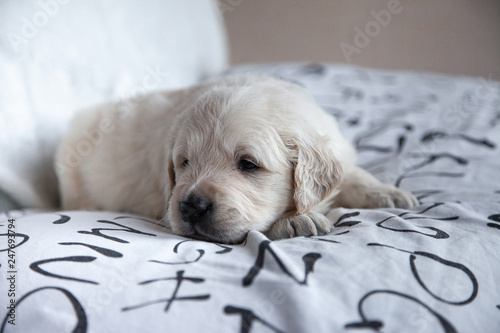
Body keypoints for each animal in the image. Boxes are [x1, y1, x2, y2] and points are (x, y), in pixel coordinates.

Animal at [55, 77, 418, 244]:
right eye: (184, 163)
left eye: (248, 164)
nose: (191, 206)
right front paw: (296, 220)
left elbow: (351, 174)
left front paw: (388, 193)